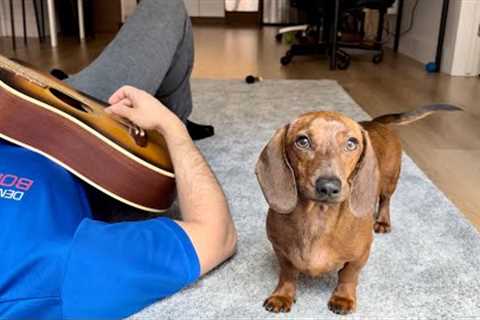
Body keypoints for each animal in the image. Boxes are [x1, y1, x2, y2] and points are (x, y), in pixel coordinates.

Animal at [256, 104, 460, 314]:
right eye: (302, 141)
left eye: (351, 143)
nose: (328, 187)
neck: (317, 217)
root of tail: (375, 123)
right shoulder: (280, 250)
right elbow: (287, 273)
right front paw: (282, 295)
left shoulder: (361, 255)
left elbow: (349, 275)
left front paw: (343, 298)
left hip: (389, 181)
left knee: (385, 200)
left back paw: (383, 221)